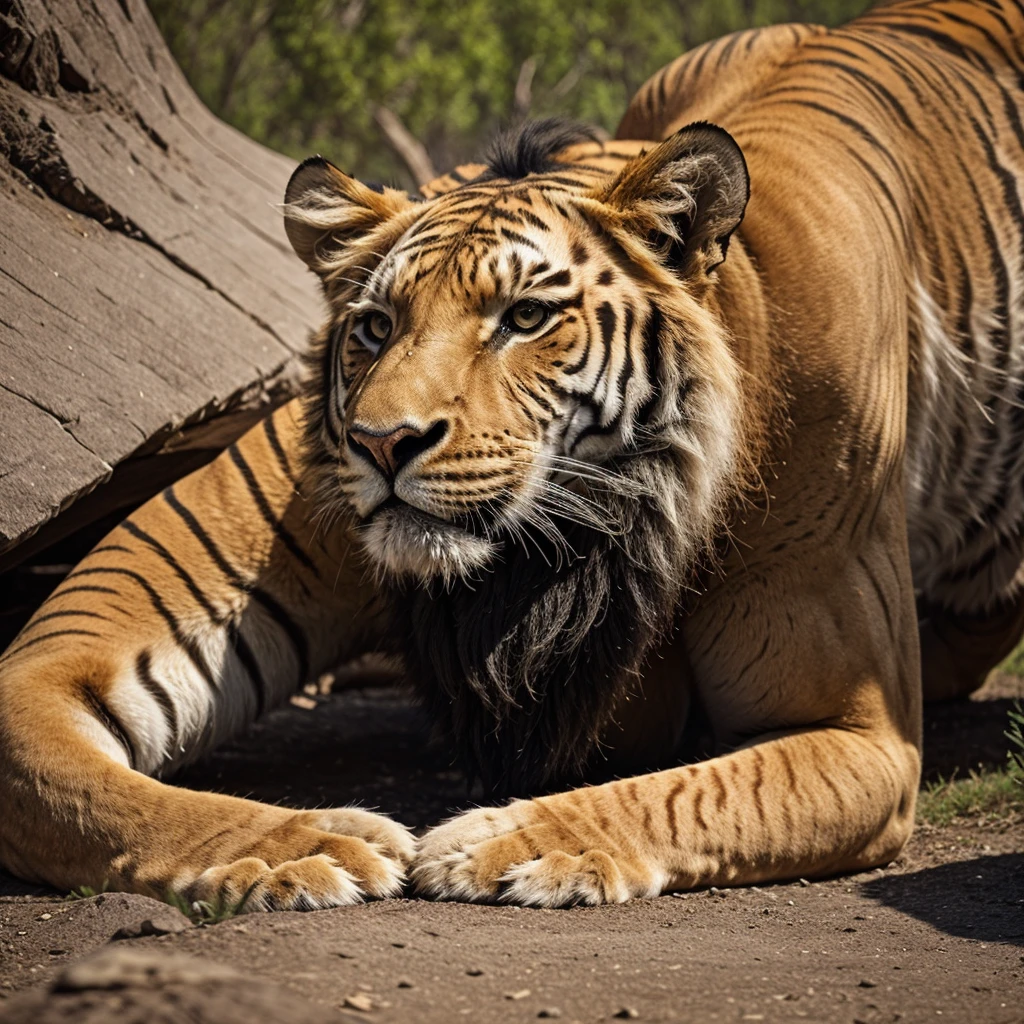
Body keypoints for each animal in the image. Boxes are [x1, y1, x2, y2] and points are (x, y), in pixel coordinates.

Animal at [2, 0, 1024, 913]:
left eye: (525, 318)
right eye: (376, 327)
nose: (383, 442)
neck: (549, 569)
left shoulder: (857, 726)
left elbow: (699, 791)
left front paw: (507, 838)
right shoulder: (60, 661)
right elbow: (73, 766)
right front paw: (305, 845)